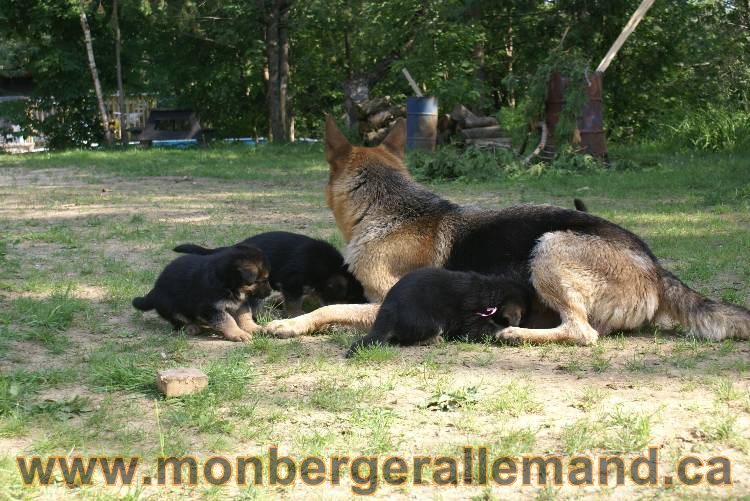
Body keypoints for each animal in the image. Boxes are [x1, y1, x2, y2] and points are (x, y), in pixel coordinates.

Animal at [133, 244, 274, 342]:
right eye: (263, 280)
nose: (270, 292)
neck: (226, 282)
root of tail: (155, 289)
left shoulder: (240, 303)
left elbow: (245, 316)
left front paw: (253, 328)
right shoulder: (210, 308)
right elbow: (227, 320)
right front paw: (238, 333)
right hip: (171, 305)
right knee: (178, 320)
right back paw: (191, 327)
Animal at [174, 229, 368, 314]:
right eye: (351, 298)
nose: (365, 303)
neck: (325, 268)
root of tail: (233, 247)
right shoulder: (292, 282)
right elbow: (293, 303)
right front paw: (296, 315)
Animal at [268, 117, 748, 344]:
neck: (390, 208)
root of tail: (655, 267)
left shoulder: (383, 299)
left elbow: (330, 309)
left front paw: (292, 324)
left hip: (550, 247)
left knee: (582, 333)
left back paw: (516, 334)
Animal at [348, 266, 536, 356]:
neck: (491, 291)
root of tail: (387, 311)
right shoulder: (472, 320)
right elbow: (490, 328)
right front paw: (510, 333)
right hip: (429, 321)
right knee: (405, 340)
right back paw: (434, 339)